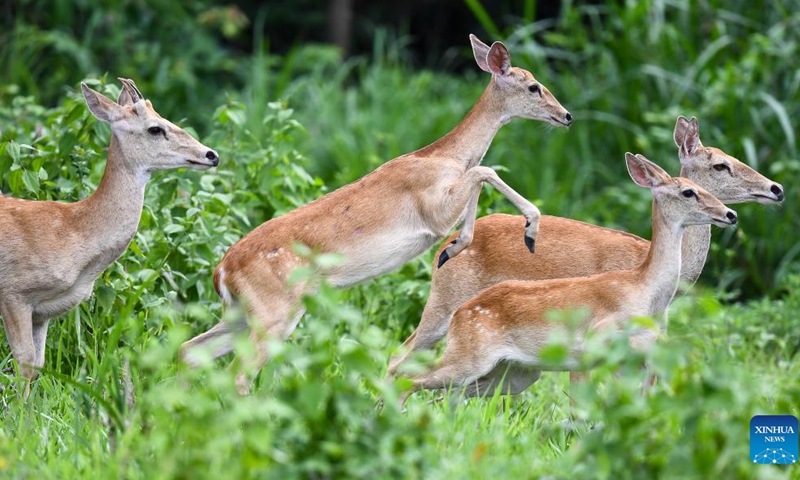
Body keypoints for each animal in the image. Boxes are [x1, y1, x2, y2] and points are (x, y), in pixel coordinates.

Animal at [0, 78, 220, 398]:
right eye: (155, 128)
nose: (211, 155)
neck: (74, 233)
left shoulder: (41, 313)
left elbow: (37, 364)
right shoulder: (14, 292)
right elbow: (24, 363)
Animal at [179, 34, 572, 388]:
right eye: (534, 87)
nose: (567, 115)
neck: (445, 157)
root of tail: (220, 272)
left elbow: (481, 177)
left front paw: (457, 247)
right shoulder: (432, 208)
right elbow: (485, 172)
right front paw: (522, 232)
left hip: (242, 313)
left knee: (189, 350)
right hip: (274, 310)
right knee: (236, 373)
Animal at [398, 153, 739, 406]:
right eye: (688, 191)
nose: (730, 214)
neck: (644, 292)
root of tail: (461, 315)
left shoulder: (640, 356)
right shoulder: (589, 349)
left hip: (511, 373)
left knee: (445, 395)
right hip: (468, 355)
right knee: (409, 374)